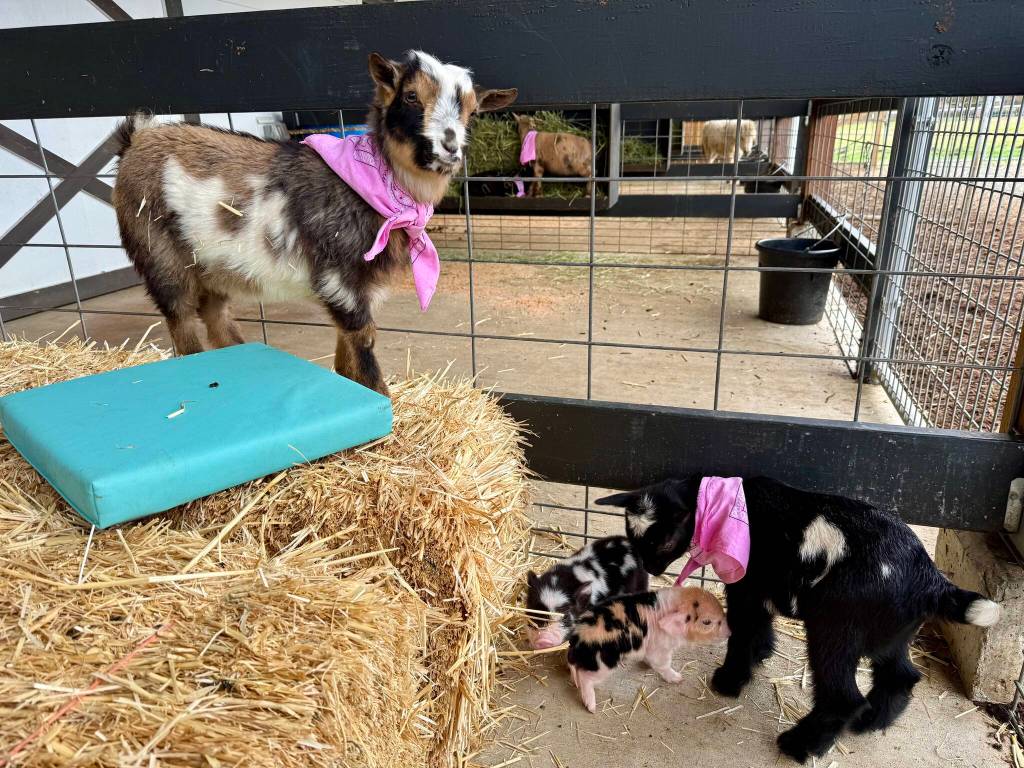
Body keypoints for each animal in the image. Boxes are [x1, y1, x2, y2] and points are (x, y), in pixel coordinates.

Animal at [112, 51, 516, 395]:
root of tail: (137, 139)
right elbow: (364, 345)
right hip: (161, 257)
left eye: (472, 111)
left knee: (215, 315)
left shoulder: (361, 288)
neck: (372, 186)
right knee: (181, 321)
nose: (449, 149)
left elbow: (346, 355)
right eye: (412, 96)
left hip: (210, 267)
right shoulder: (340, 280)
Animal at [597, 476, 1001, 763]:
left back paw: (800, 745)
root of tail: (930, 580)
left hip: (836, 629)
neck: (723, 504)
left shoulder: (748, 584)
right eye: (633, 538)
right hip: (891, 633)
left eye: (663, 543)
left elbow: (743, 630)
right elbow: (757, 627)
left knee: (843, 697)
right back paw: (872, 723)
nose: (650, 568)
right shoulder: (760, 589)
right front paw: (760, 655)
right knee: (901, 675)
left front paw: (730, 680)